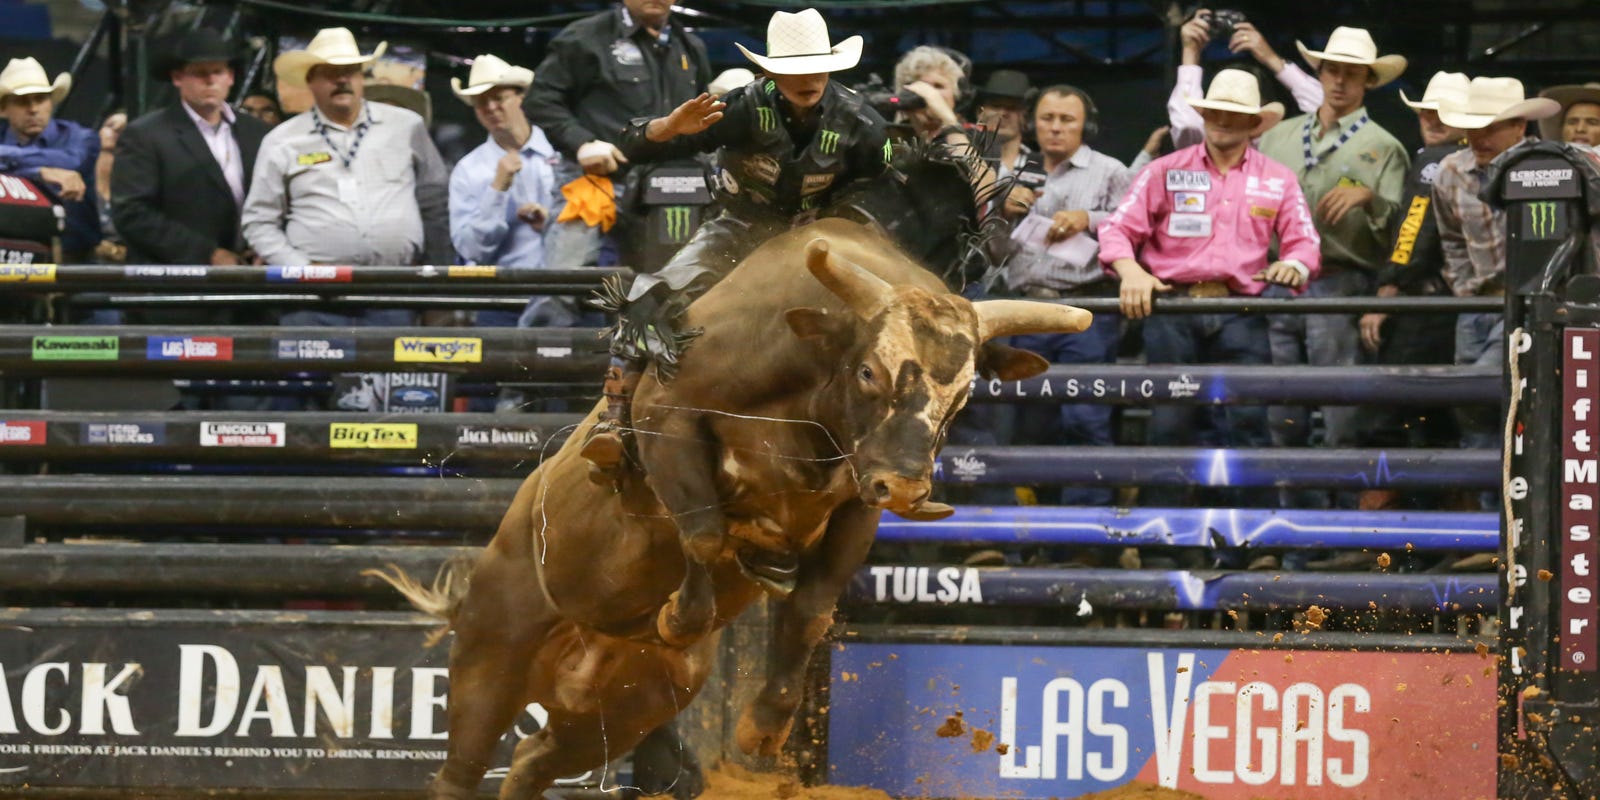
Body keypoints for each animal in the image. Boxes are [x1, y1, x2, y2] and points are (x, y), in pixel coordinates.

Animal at [378, 176, 1090, 800]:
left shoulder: (858, 501)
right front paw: (678, 615)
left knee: (532, 759)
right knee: (463, 768)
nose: (909, 488)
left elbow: (809, 609)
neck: (808, 398)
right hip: (493, 650)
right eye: (868, 370)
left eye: (964, 394)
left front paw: (764, 726)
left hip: (624, 708)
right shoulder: (669, 424)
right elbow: (702, 534)